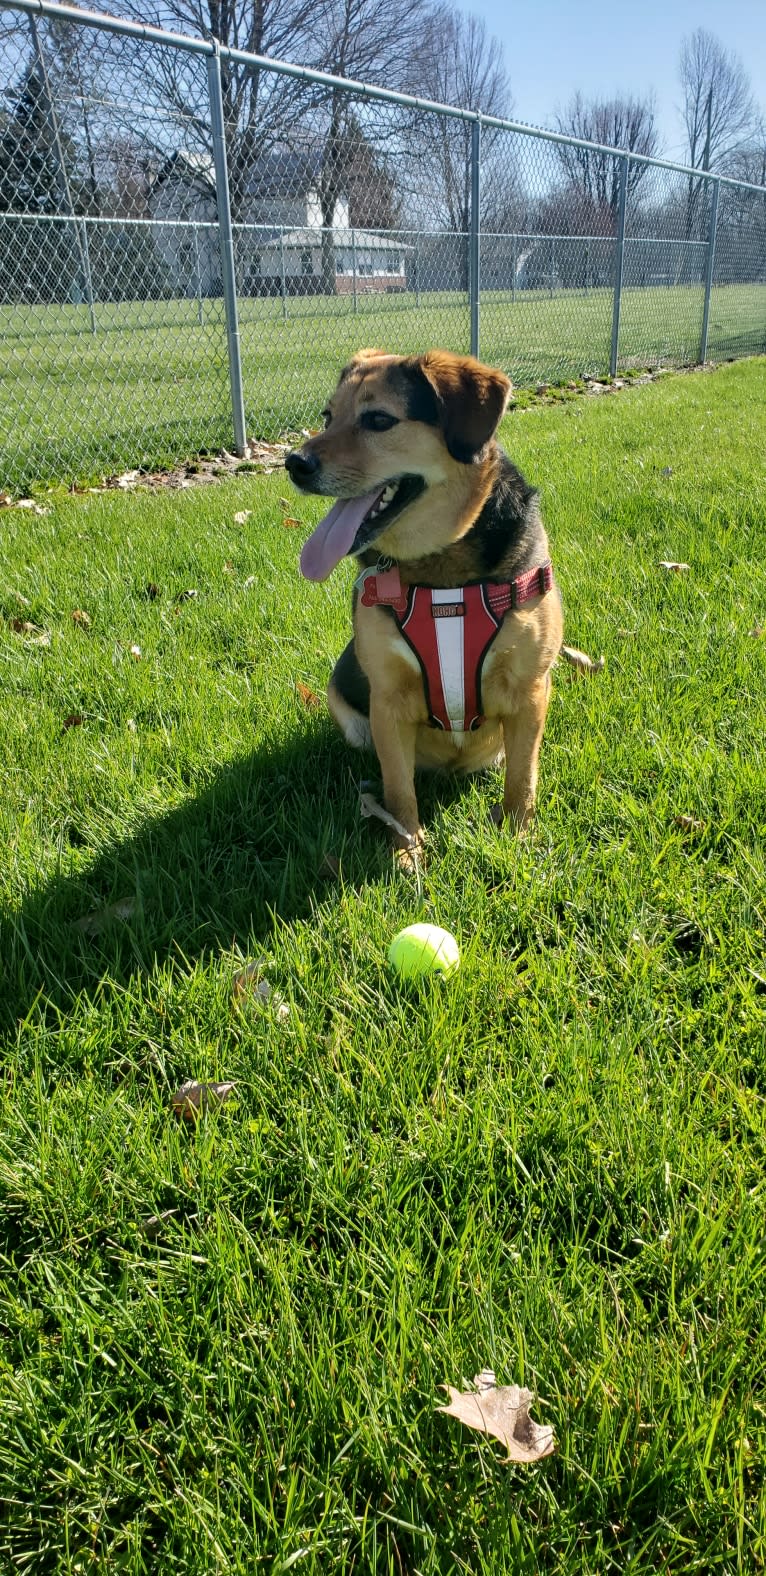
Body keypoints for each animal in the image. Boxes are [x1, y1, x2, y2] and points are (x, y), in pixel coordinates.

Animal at [286, 346, 561, 851]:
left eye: (378, 420)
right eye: (328, 416)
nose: (293, 463)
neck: (440, 573)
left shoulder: (530, 691)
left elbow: (522, 778)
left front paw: (517, 838)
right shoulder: (388, 701)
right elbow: (399, 789)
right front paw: (406, 851)